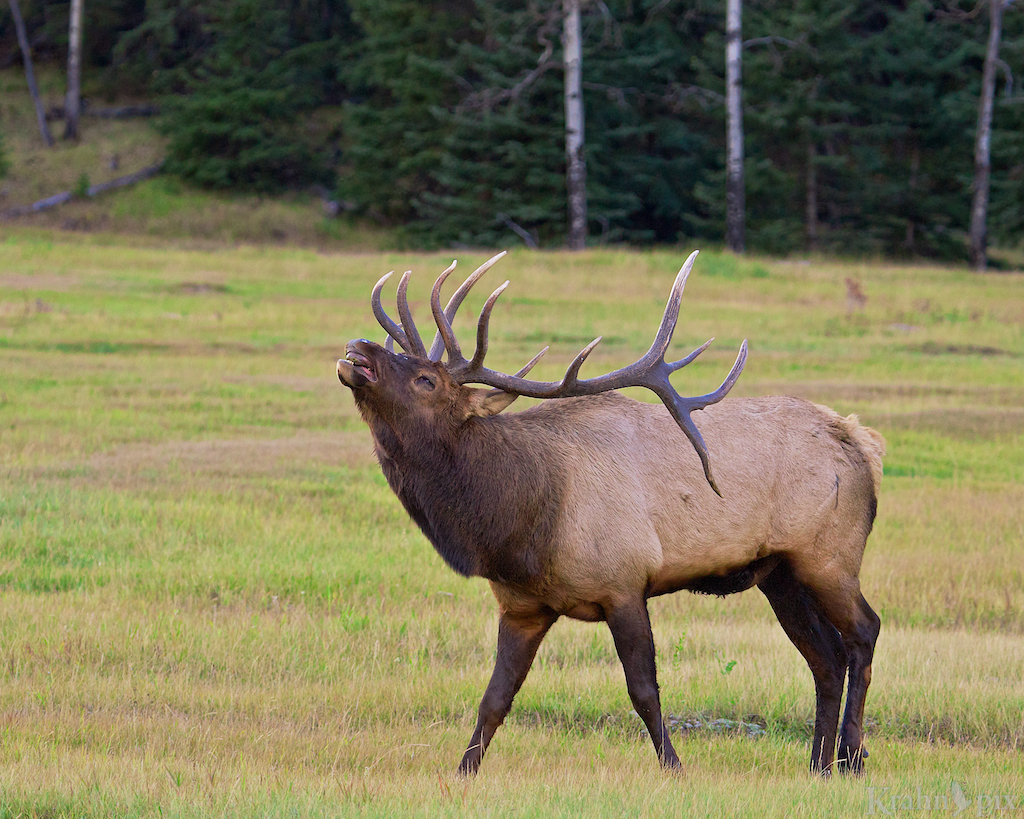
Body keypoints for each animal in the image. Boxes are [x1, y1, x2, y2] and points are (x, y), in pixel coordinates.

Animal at [335, 250, 885, 777]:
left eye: (426, 379)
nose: (359, 348)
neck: (519, 524)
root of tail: (864, 444)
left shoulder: (624, 583)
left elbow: (644, 692)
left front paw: (674, 768)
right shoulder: (521, 606)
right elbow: (494, 700)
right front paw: (463, 771)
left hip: (829, 557)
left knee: (864, 632)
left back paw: (852, 757)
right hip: (779, 574)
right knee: (826, 659)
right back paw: (818, 764)